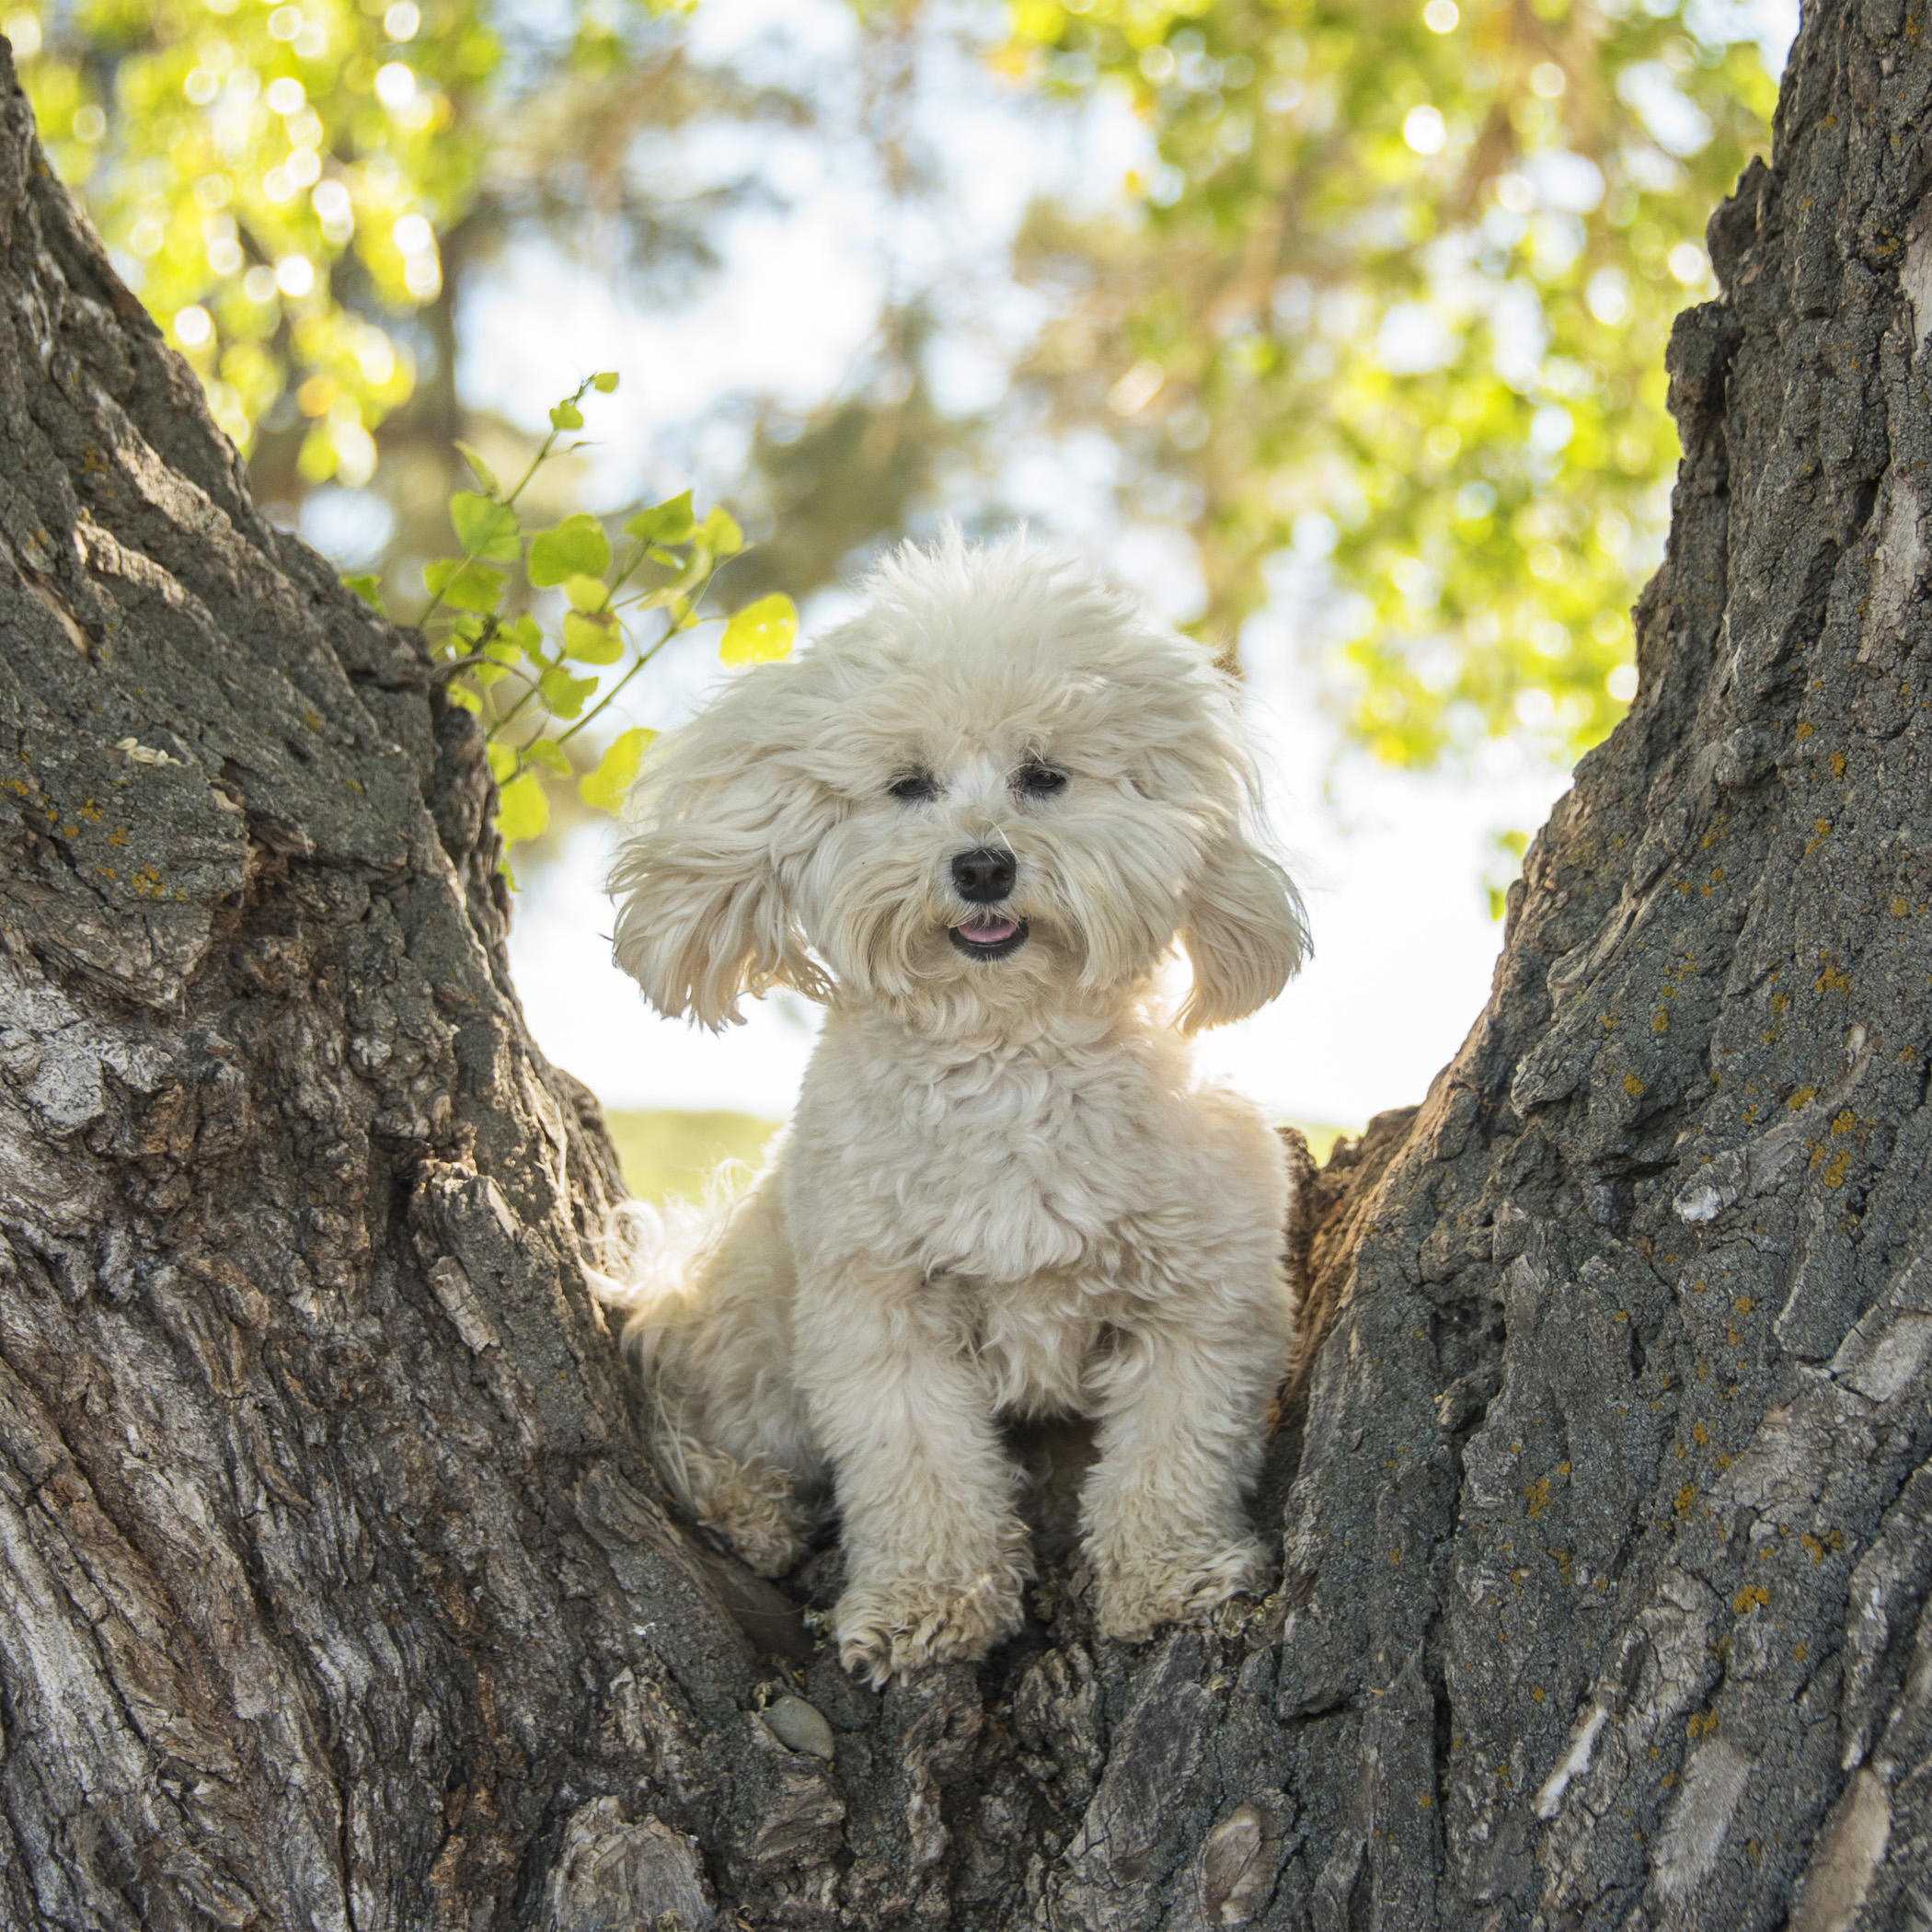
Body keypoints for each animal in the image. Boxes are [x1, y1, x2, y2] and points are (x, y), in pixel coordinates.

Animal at [599, 536, 1298, 1685]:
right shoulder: (879, 1311)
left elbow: (1171, 1456)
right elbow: (918, 1466)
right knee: (707, 1422)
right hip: (754, 1298)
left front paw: (1169, 1577)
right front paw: (928, 1604)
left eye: (1045, 776)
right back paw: (746, 1507)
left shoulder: (1203, 1304)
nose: (981, 865)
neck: (1006, 1053)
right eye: (908, 784)